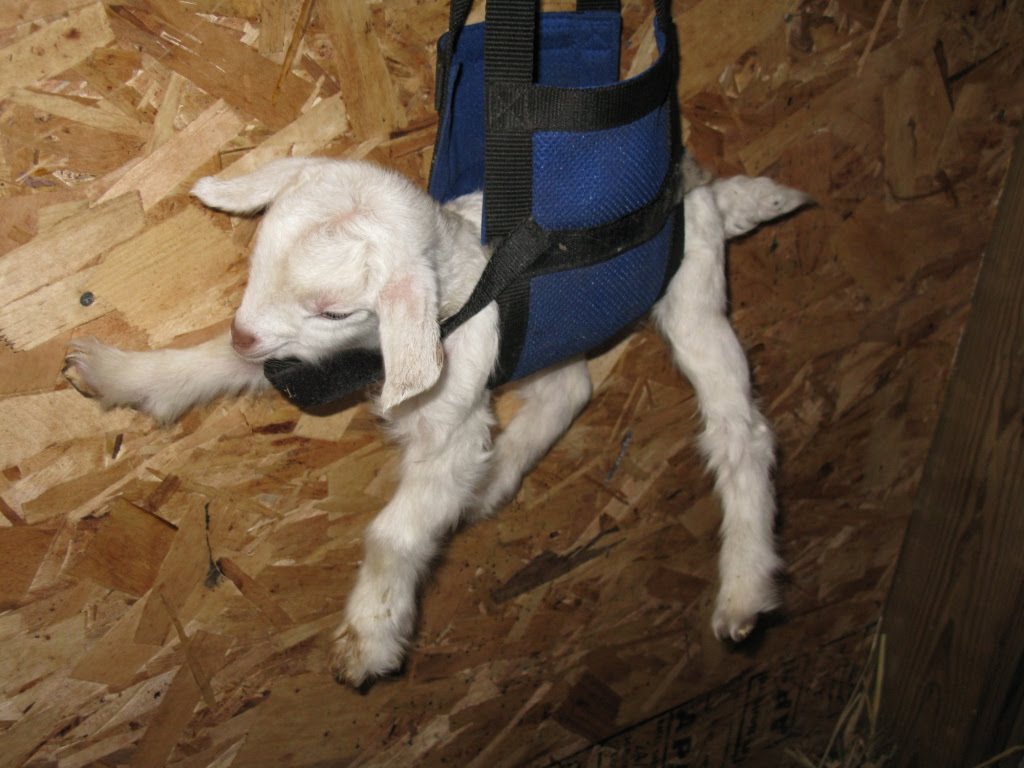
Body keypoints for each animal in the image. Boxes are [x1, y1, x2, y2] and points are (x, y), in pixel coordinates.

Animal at [64, 156, 809, 686]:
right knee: (569, 386)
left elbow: (394, 531)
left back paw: (744, 593)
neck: (459, 294)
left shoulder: (446, 426)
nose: (246, 334)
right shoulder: (317, 360)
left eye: (335, 308)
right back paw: (492, 484)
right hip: (552, 341)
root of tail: (704, 190)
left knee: (741, 430)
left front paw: (369, 637)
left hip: (693, 297)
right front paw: (114, 374)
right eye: (257, 257)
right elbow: (208, 362)